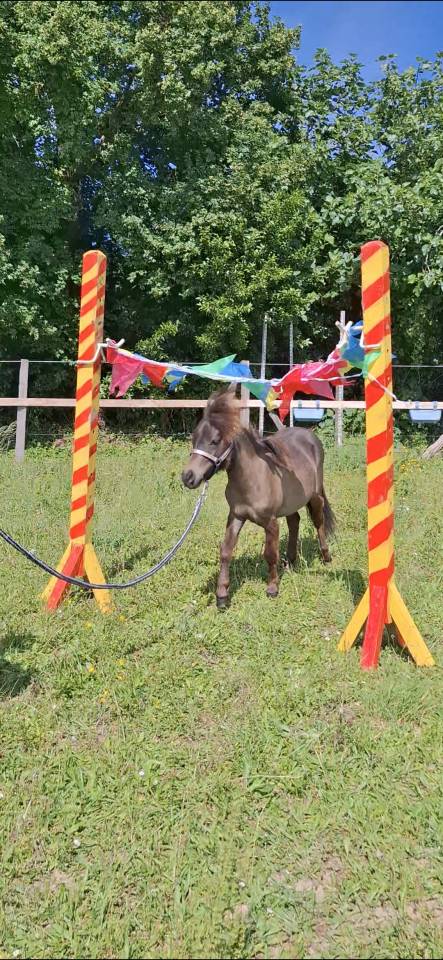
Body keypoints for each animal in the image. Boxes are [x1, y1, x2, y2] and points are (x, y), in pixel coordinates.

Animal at [181, 388, 335, 608]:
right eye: (194, 439)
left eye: (214, 441)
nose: (188, 477)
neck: (251, 479)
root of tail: (310, 435)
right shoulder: (236, 516)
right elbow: (226, 551)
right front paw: (222, 595)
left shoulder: (270, 522)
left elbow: (269, 554)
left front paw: (272, 588)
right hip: (290, 503)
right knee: (294, 521)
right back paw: (290, 562)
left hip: (314, 497)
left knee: (318, 521)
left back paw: (326, 556)